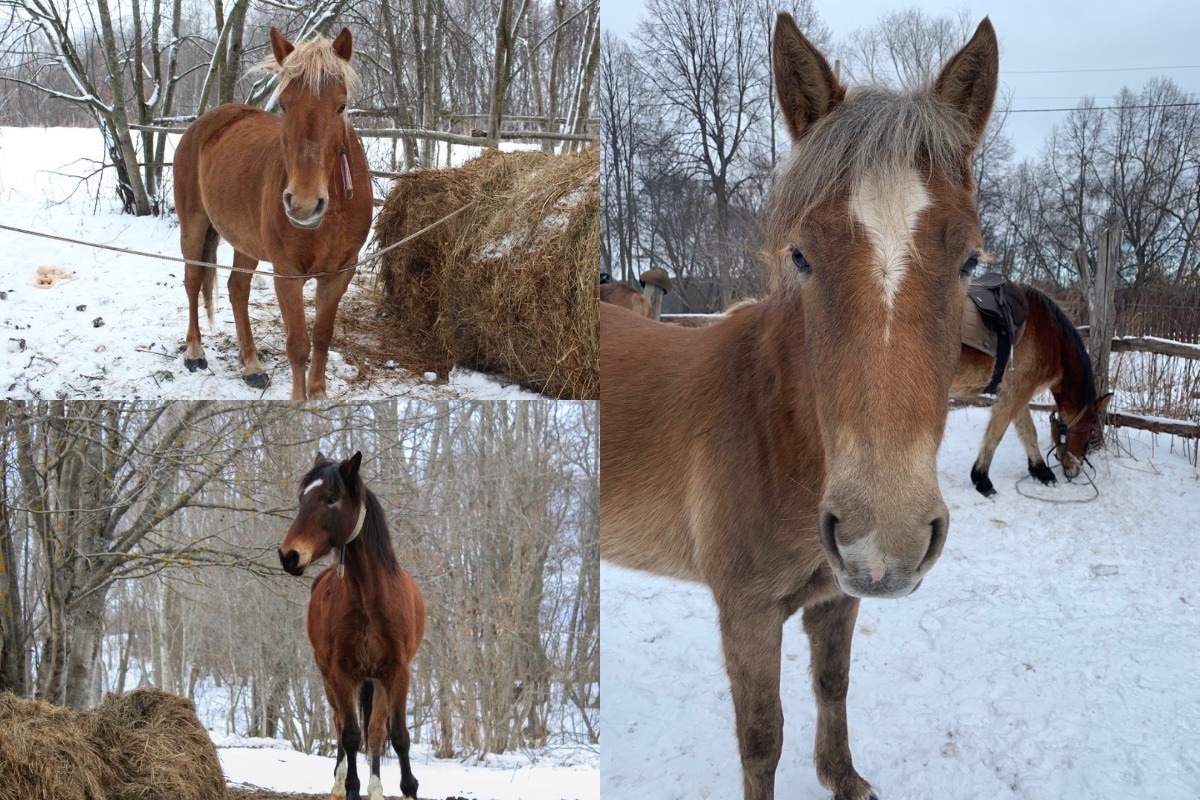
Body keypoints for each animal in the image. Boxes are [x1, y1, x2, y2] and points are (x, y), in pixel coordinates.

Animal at [171, 26, 372, 400]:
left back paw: (251, 365)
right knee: (192, 281)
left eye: (341, 106)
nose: (303, 204)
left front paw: (318, 395)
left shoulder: (340, 274)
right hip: (193, 226)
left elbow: (322, 338)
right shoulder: (287, 274)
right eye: (283, 104)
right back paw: (194, 351)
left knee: (237, 289)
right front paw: (299, 401)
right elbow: (298, 346)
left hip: (245, 242)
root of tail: (203, 123)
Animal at [278, 453, 424, 800]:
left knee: (375, 732)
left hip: (377, 682)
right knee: (341, 724)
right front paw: (350, 787)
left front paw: (407, 787)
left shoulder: (397, 672)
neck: (370, 597)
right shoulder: (341, 673)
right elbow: (350, 735)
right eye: (302, 499)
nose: (289, 555)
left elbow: (397, 736)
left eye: (331, 499)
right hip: (330, 678)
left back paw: (376, 787)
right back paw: (338, 783)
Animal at [600, 12, 1003, 800]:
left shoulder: (837, 593)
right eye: (802, 255)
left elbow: (832, 684)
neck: (775, 428)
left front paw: (843, 778)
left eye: (971, 259)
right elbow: (762, 738)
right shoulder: (747, 613)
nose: (886, 536)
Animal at [955, 281, 1113, 494]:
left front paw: (1041, 470)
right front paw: (982, 479)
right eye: (1088, 431)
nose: (1075, 470)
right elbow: (996, 433)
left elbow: (1028, 431)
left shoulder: (1017, 393)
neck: (1049, 334)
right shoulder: (1016, 393)